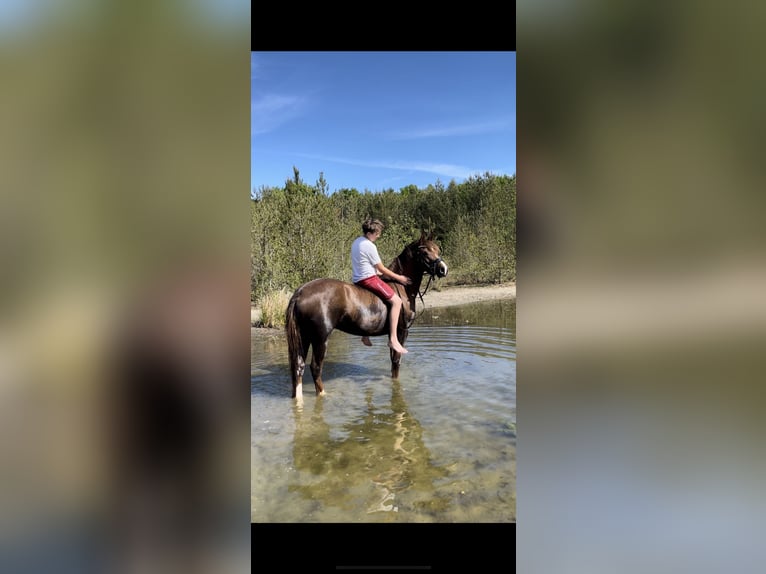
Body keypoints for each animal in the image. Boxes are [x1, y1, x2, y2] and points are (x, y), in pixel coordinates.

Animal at [285, 231, 448, 402]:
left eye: (437, 249)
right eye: (425, 252)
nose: (443, 269)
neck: (402, 288)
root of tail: (300, 292)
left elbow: (392, 362)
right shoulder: (401, 331)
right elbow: (396, 362)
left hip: (304, 336)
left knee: (298, 366)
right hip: (320, 338)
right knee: (315, 367)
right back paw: (323, 394)